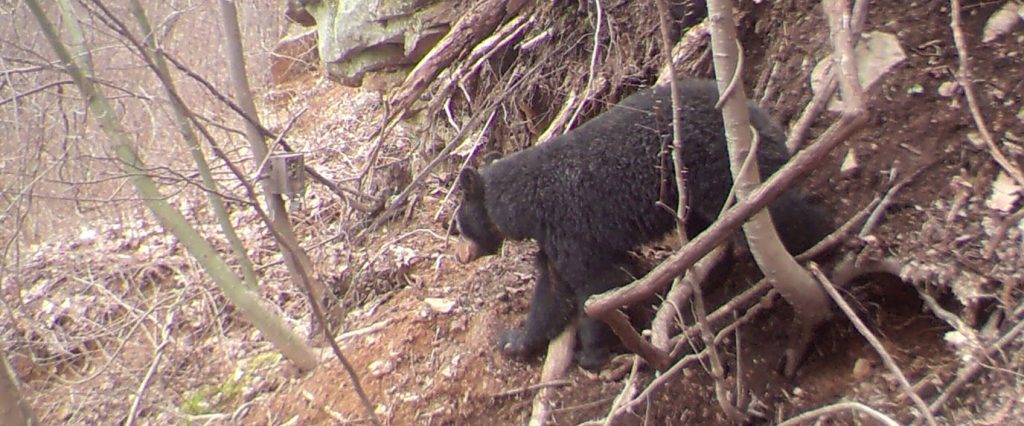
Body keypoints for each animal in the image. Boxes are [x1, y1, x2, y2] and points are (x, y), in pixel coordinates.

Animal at [453, 78, 831, 370]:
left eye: (457, 225)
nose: (461, 255)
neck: (527, 201)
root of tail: (760, 115)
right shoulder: (555, 238)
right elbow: (554, 290)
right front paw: (516, 340)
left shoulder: (570, 225)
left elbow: (596, 285)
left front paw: (591, 353)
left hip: (723, 170)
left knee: (781, 214)